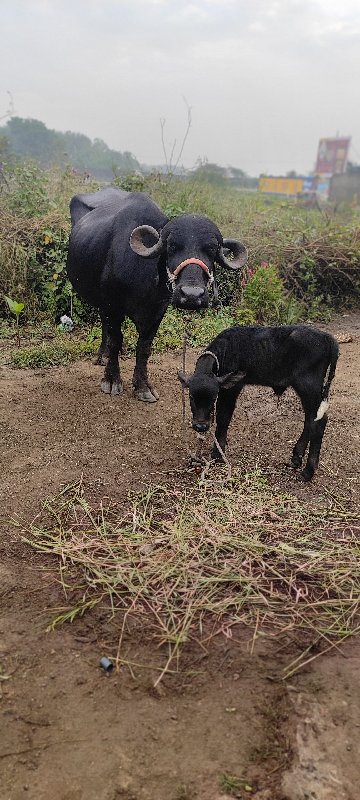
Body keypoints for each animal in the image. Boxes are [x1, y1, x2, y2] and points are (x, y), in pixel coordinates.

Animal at [67, 187, 248, 400]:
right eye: (172, 246)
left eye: (212, 248)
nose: (192, 295)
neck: (143, 279)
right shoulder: (112, 305)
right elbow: (114, 340)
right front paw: (111, 380)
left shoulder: (157, 310)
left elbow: (144, 347)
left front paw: (143, 386)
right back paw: (103, 356)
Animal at [179, 324, 338, 482]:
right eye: (191, 396)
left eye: (213, 397)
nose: (200, 426)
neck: (226, 349)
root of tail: (327, 337)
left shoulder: (232, 389)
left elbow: (223, 418)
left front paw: (218, 455)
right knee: (310, 420)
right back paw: (296, 458)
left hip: (308, 387)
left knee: (319, 422)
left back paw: (308, 471)